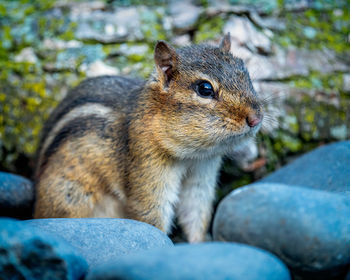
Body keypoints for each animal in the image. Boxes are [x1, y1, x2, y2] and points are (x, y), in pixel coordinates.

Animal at [33, 34, 262, 242]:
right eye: (204, 89)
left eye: (245, 72)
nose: (256, 118)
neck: (192, 155)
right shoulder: (147, 170)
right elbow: (151, 213)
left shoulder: (201, 176)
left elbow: (196, 213)